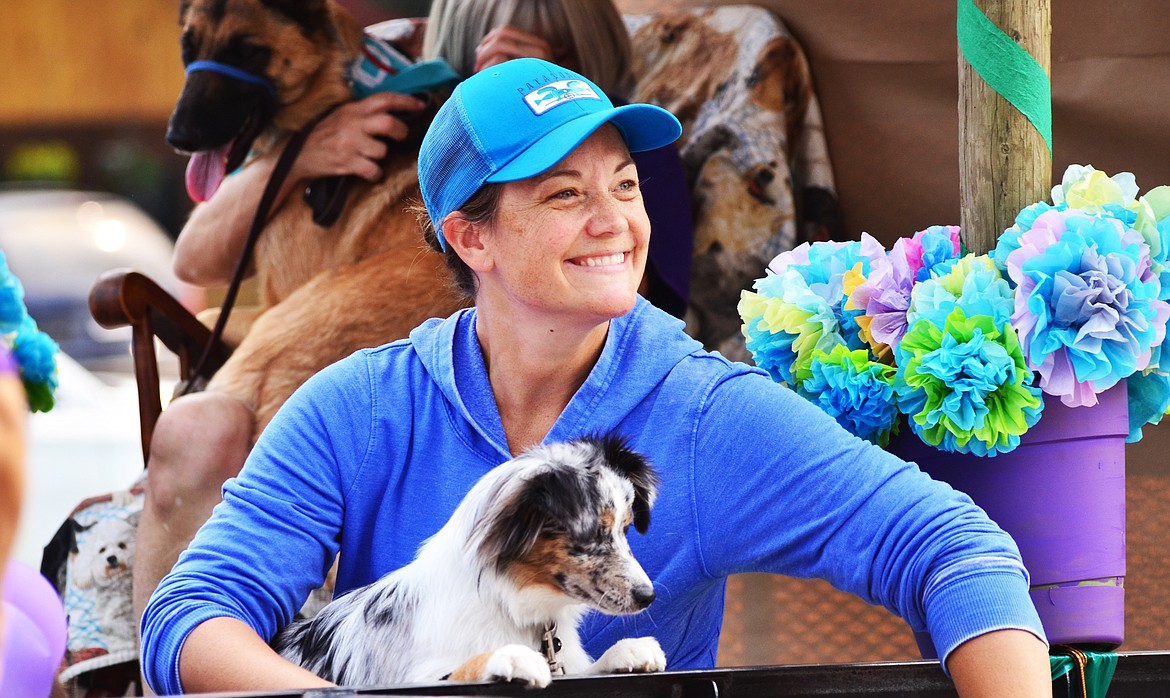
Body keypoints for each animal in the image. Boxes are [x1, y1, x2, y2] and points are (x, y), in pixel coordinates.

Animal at [166, 0, 465, 434]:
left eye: (247, 51)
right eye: (188, 48)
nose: (179, 137)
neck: (338, 88)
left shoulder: (268, 307)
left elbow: (206, 313)